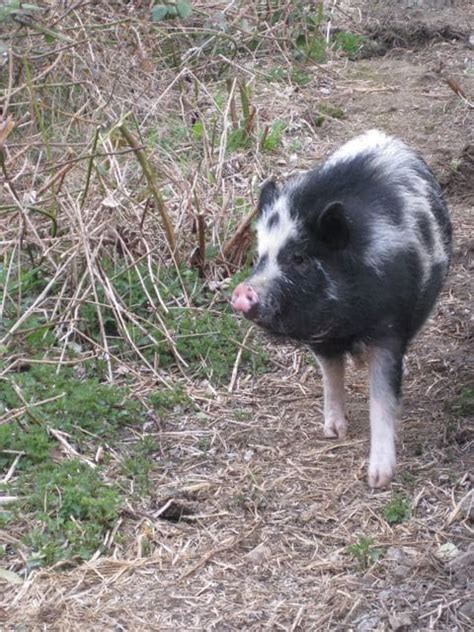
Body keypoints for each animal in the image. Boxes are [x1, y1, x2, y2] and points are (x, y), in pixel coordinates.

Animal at [232, 130, 452, 488]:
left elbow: (382, 397)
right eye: (259, 256)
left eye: (299, 258)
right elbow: (331, 377)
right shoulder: (322, 339)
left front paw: (378, 479)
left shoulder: (388, 330)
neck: (348, 322)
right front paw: (333, 432)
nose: (241, 293)